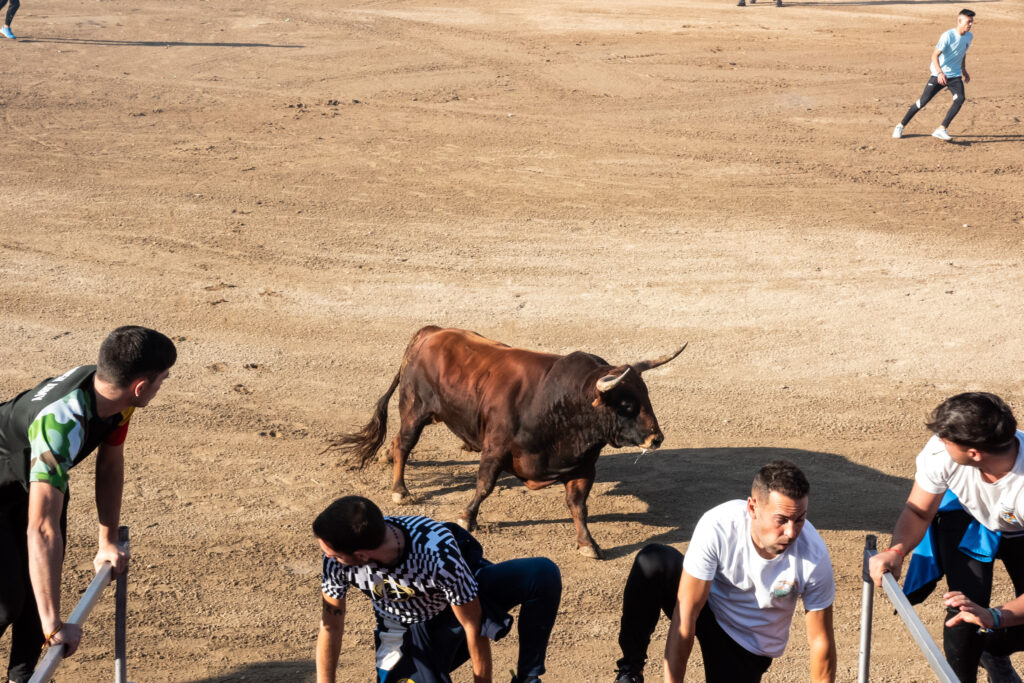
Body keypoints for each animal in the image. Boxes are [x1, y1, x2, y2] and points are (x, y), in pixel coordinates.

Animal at [331, 327, 684, 561]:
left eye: (646, 395)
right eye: (625, 404)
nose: (656, 438)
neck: (557, 402)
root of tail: (430, 332)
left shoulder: (583, 465)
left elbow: (578, 505)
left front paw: (588, 544)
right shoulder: (496, 449)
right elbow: (484, 485)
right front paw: (467, 517)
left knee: (396, 442)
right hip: (415, 409)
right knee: (404, 444)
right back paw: (400, 490)